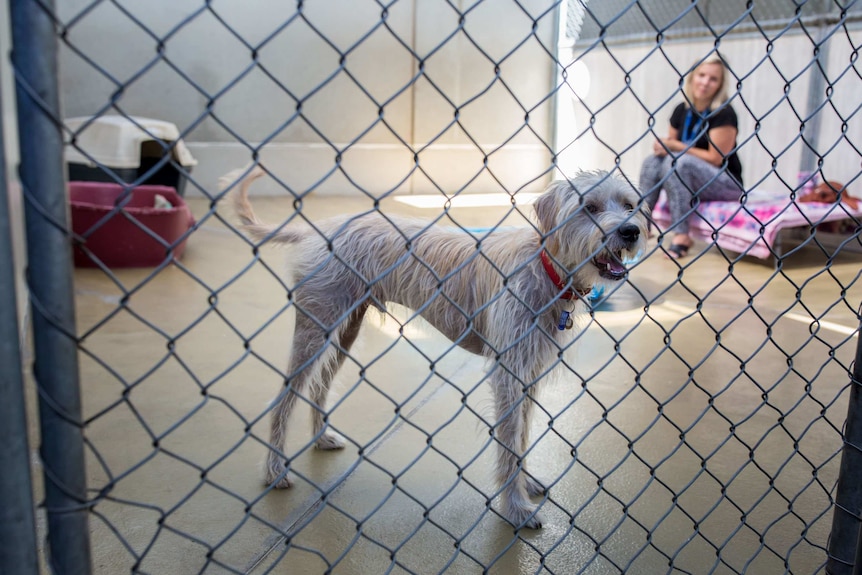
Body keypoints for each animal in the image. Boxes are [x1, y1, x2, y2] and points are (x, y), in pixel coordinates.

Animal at [223, 164, 648, 528]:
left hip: (343, 333)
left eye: (629, 205)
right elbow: (510, 443)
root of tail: (321, 228)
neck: (546, 268)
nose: (631, 231)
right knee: (284, 398)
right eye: (589, 207)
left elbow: (523, 436)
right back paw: (274, 469)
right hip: (315, 331)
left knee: (319, 386)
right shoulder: (509, 375)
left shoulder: (528, 375)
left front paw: (525, 485)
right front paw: (516, 508)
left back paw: (321, 438)